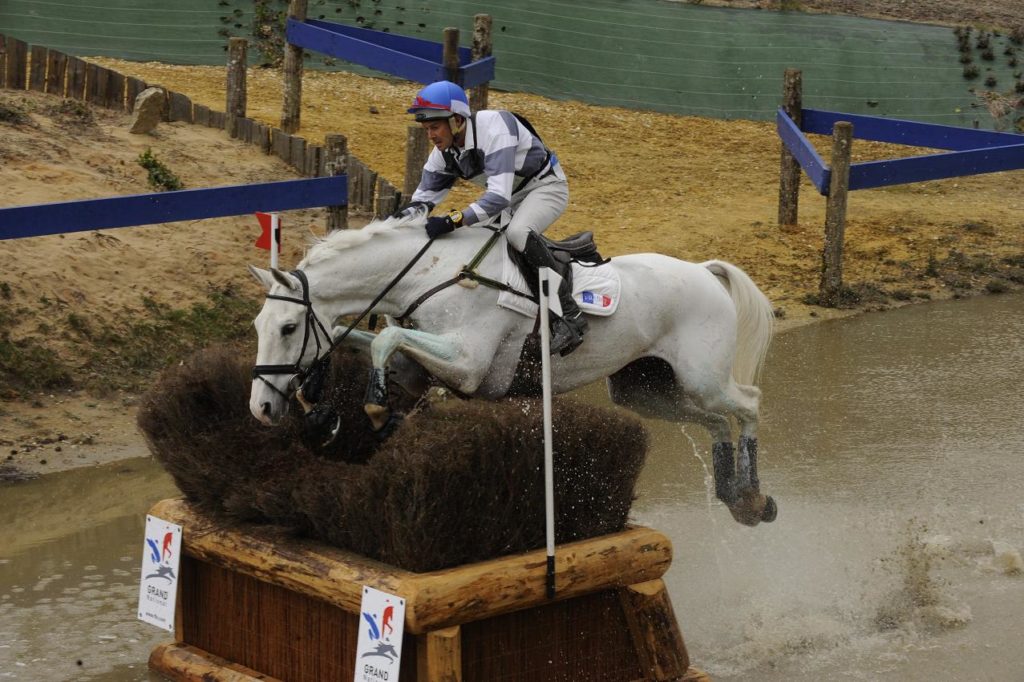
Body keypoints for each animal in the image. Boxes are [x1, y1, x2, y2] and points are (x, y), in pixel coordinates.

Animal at [247, 212, 774, 520]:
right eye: (258, 325)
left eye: (289, 327)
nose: (260, 409)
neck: (429, 275)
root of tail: (704, 271)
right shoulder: (419, 368)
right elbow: (367, 340)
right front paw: (319, 406)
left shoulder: (466, 365)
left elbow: (387, 339)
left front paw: (377, 411)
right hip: (643, 391)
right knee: (714, 422)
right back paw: (734, 495)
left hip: (702, 379)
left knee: (748, 404)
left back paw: (753, 495)